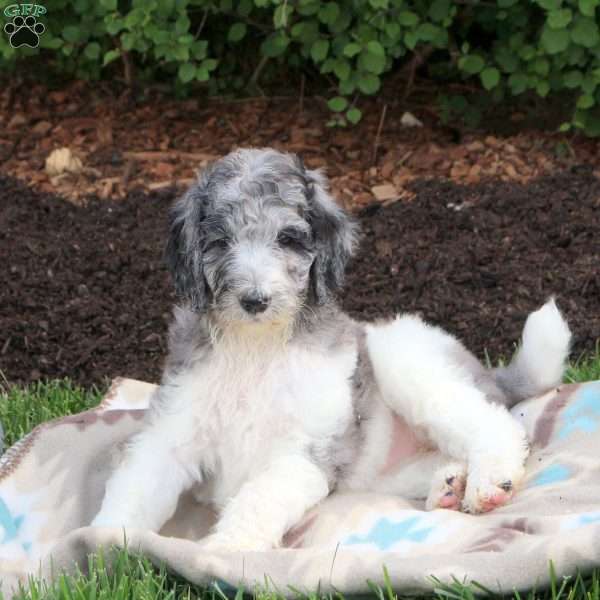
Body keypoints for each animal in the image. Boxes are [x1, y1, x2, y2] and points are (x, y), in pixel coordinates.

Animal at [90, 148, 572, 552]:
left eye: (287, 239)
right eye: (220, 241)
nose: (255, 300)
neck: (256, 347)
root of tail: (488, 373)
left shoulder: (303, 451)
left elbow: (256, 500)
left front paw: (224, 553)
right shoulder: (169, 434)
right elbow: (134, 489)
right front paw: (102, 547)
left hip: (406, 361)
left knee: (493, 424)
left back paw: (489, 480)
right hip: (378, 473)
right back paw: (449, 485)